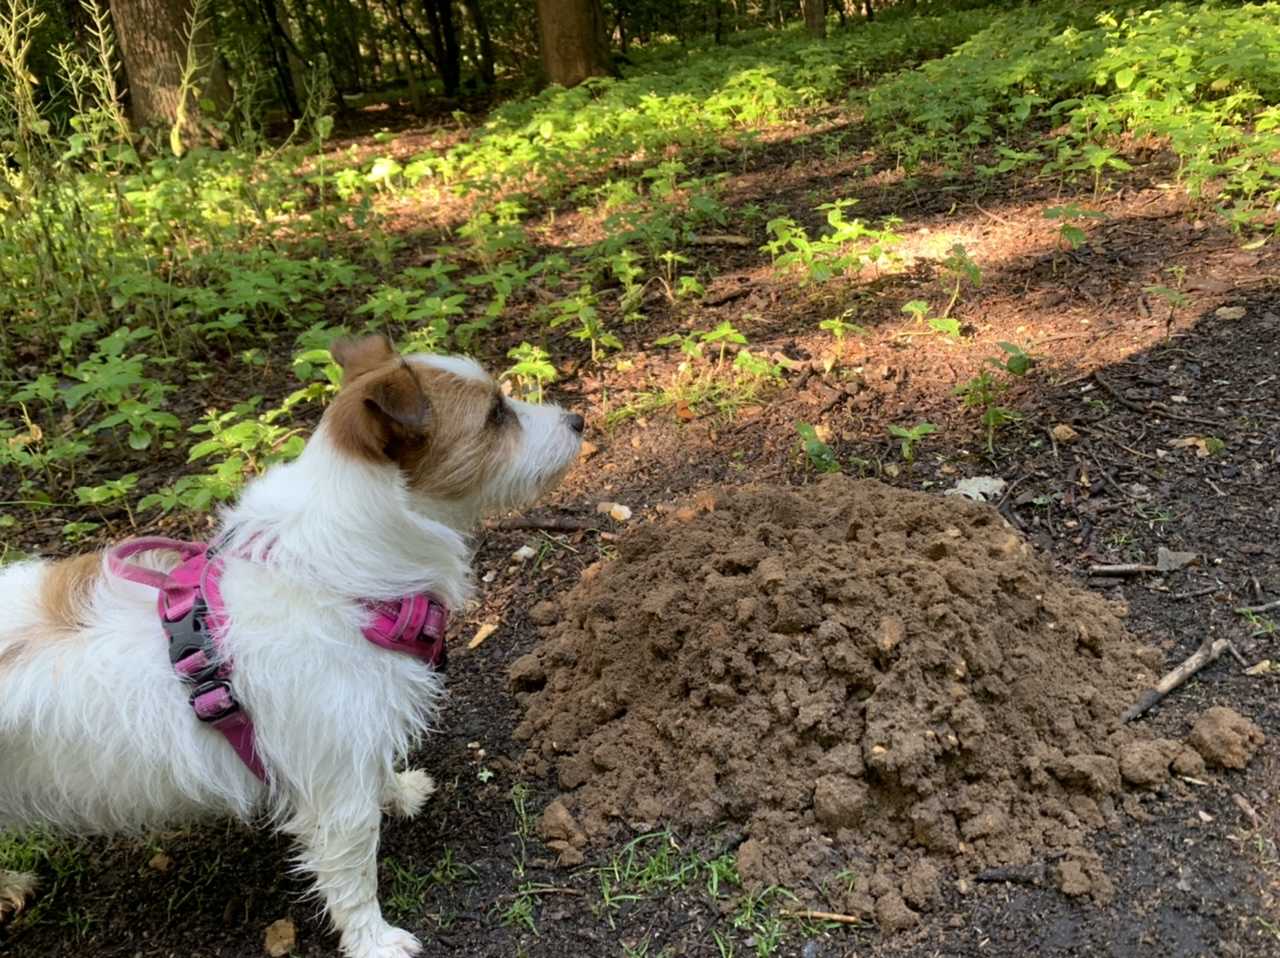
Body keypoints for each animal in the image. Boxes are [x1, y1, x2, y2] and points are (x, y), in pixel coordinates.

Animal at [0, 334, 584, 957]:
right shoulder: (336, 784)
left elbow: (379, 772)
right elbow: (353, 868)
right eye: (495, 413)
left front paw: (399, 791)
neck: (336, 572)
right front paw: (373, 939)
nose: (576, 419)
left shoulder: (353, 736)